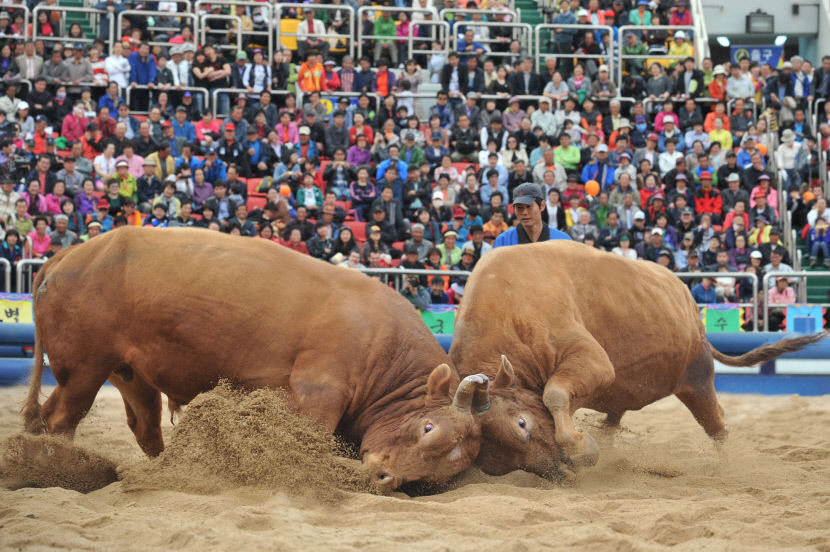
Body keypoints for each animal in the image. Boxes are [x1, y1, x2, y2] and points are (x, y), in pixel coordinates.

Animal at [24, 226, 494, 494]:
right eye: (428, 428)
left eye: (441, 472)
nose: (386, 479)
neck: (382, 345)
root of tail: (70, 255)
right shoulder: (319, 391)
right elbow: (310, 437)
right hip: (83, 369)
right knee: (60, 418)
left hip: (127, 373)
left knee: (141, 425)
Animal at [452, 242, 828, 478]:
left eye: (522, 423)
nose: (556, 472)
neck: (507, 310)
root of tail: (692, 311)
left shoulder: (591, 361)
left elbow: (554, 395)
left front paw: (581, 447)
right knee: (614, 421)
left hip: (698, 381)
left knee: (718, 426)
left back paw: (727, 466)